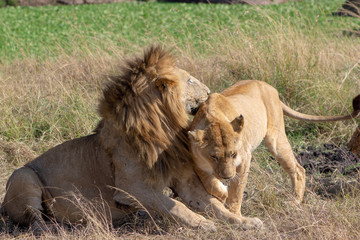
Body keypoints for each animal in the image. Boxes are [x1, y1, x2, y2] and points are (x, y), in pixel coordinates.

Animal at [1, 46, 260, 232]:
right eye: (189, 80)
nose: (208, 92)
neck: (164, 128)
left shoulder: (184, 181)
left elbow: (213, 205)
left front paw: (245, 221)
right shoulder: (128, 189)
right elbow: (174, 205)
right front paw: (203, 223)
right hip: (23, 176)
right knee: (34, 218)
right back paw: (51, 228)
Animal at [188, 80, 360, 225]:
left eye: (233, 154)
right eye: (213, 156)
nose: (227, 176)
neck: (213, 117)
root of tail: (266, 85)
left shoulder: (245, 159)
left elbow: (237, 190)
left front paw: (234, 212)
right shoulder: (197, 163)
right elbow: (211, 184)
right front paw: (222, 193)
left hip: (276, 139)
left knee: (299, 170)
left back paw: (294, 202)